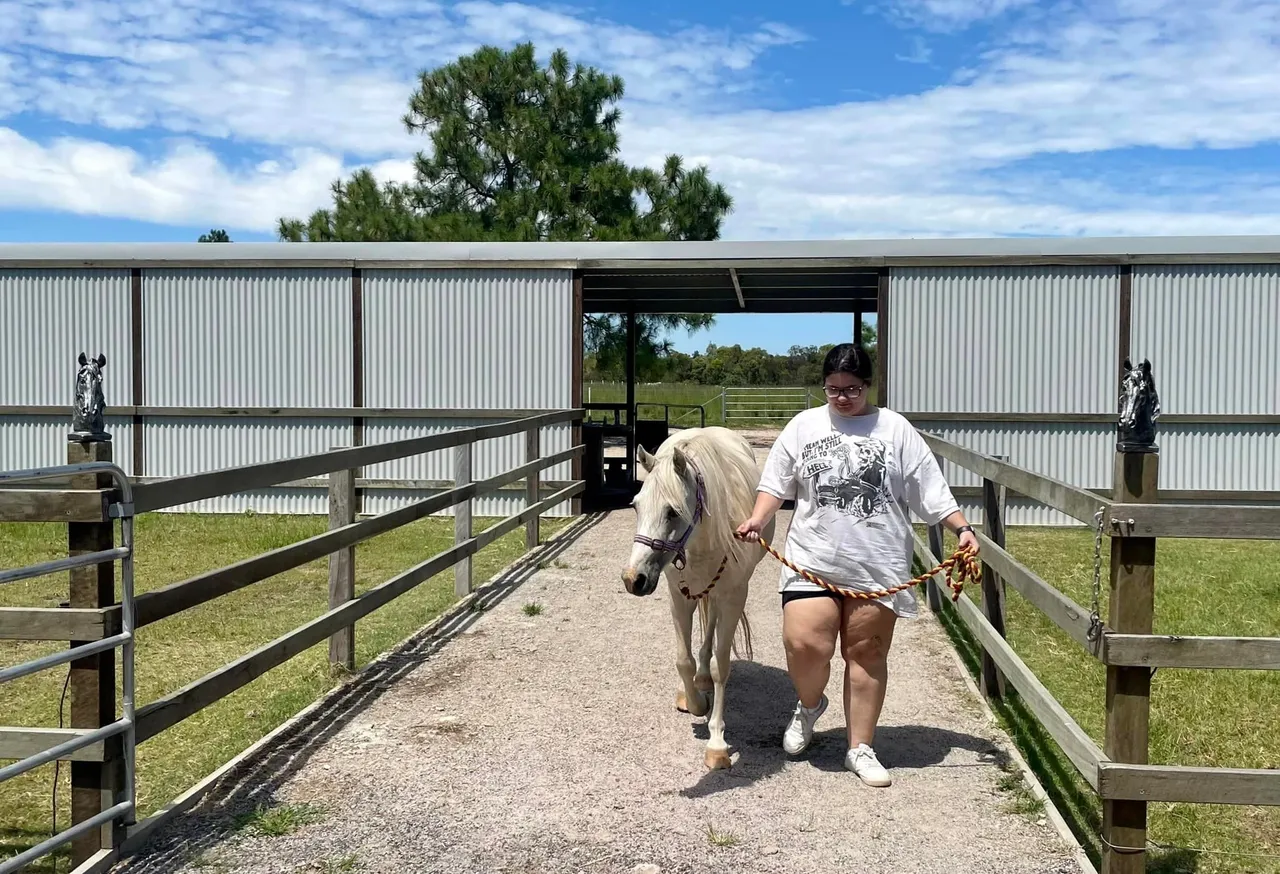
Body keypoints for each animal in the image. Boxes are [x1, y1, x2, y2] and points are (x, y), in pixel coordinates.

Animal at [620, 426, 776, 770]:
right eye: (635, 506)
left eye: (672, 511)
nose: (633, 579)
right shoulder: (678, 596)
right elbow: (683, 660)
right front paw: (694, 703)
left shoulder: (733, 597)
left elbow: (721, 666)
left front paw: (717, 742)